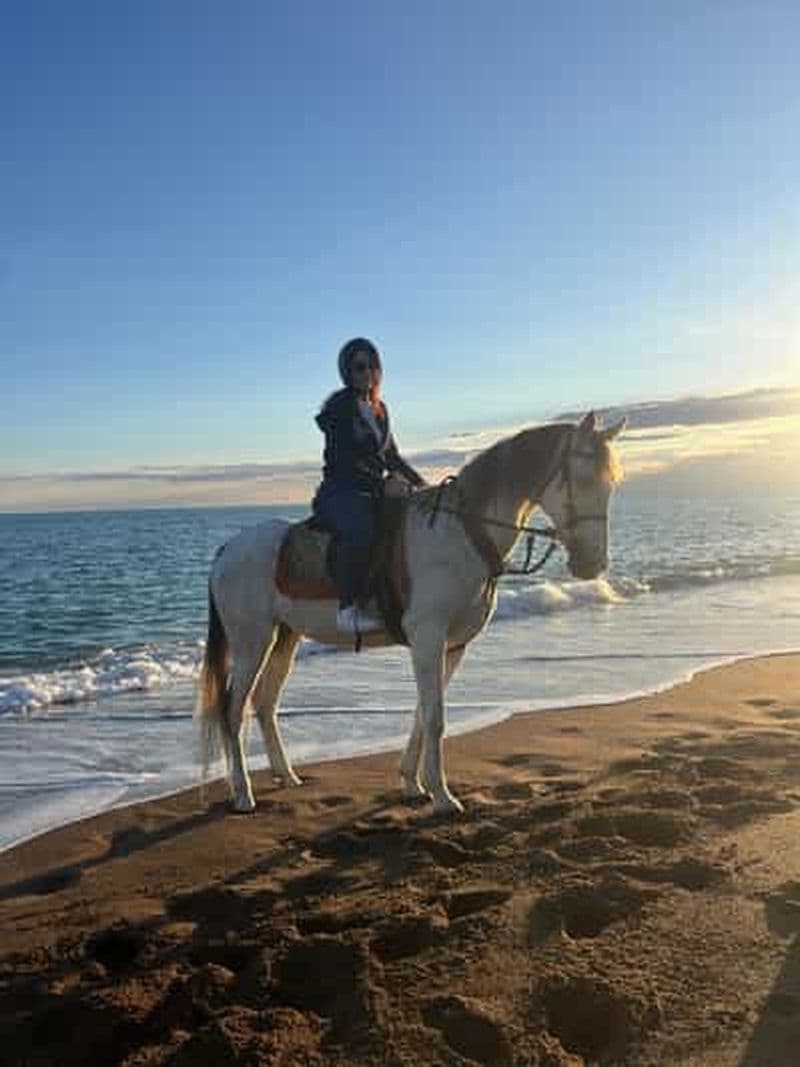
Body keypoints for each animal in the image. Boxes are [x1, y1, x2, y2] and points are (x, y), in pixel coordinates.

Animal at [195, 411, 625, 815]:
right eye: (584, 479)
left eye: (611, 484)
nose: (592, 564)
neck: (463, 533)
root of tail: (227, 550)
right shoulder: (429, 637)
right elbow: (435, 717)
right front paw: (442, 795)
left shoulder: (451, 646)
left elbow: (423, 713)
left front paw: (412, 782)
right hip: (252, 641)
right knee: (232, 709)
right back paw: (242, 793)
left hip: (285, 636)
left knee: (265, 704)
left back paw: (286, 776)